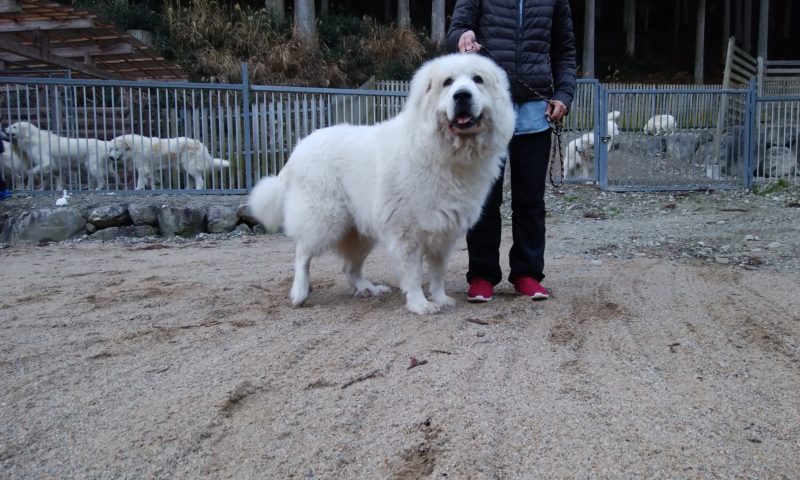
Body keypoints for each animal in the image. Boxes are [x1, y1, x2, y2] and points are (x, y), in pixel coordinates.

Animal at [247, 53, 516, 316]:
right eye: (447, 82)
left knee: (349, 267)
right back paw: (300, 293)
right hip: (325, 219)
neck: (445, 154)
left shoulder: (443, 234)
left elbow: (438, 273)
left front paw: (440, 298)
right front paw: (420, 304)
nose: (462, 95)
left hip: (360, 231)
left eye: (478, 79)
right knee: (302, 253)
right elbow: (414, 274)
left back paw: (368, 288)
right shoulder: (408, 233)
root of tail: (298, 148)